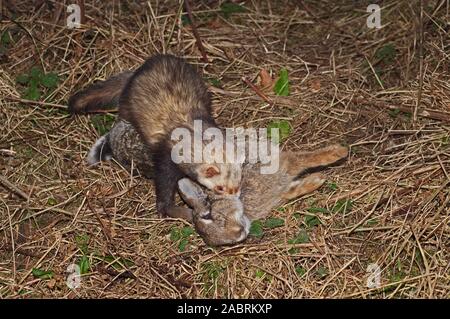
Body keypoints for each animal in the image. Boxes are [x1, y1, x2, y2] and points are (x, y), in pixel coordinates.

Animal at [88, 120, 348, 248]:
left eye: (209, 215)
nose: (238, 234)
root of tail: (113, 141)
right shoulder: (282, 185)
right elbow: (296, 185)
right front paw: (317, 181)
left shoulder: (279, 163)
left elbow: (306, 158)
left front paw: (338, 152)